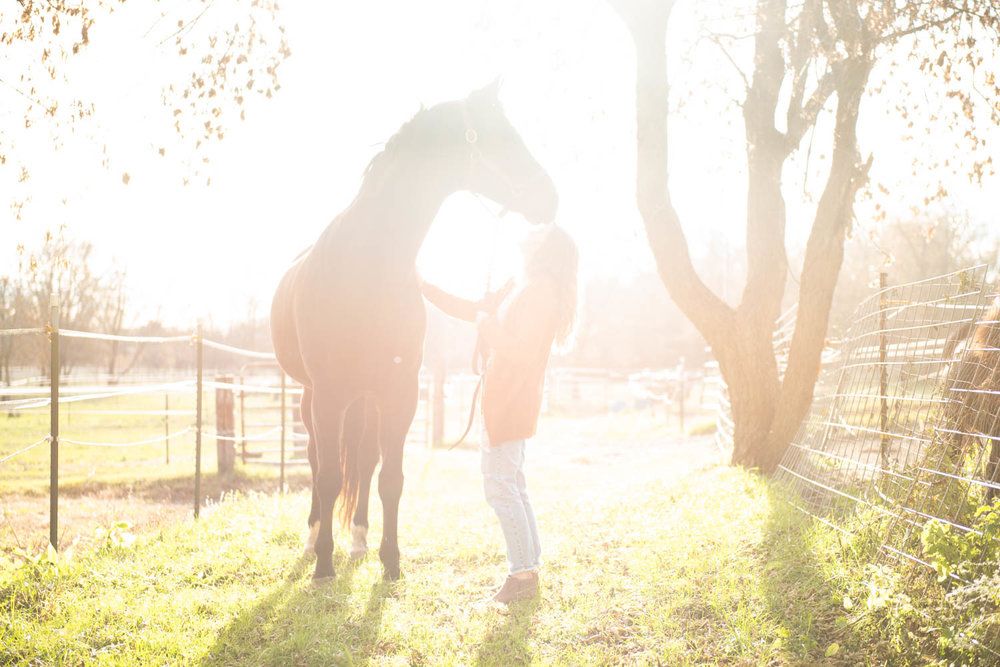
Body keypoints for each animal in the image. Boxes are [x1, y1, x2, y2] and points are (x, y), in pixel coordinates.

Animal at [270, 81, 557, 581]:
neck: (368, 267)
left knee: (363, 461)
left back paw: (359, 540)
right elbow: (327, 475)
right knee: (318, 460)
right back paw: (313, 539)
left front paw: (391, 560)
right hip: (314, 397)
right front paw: (323, 563)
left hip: (365, 398)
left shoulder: (400, 390)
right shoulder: (329, 393)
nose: (550, 194)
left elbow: (390, 478)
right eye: (498, 135)